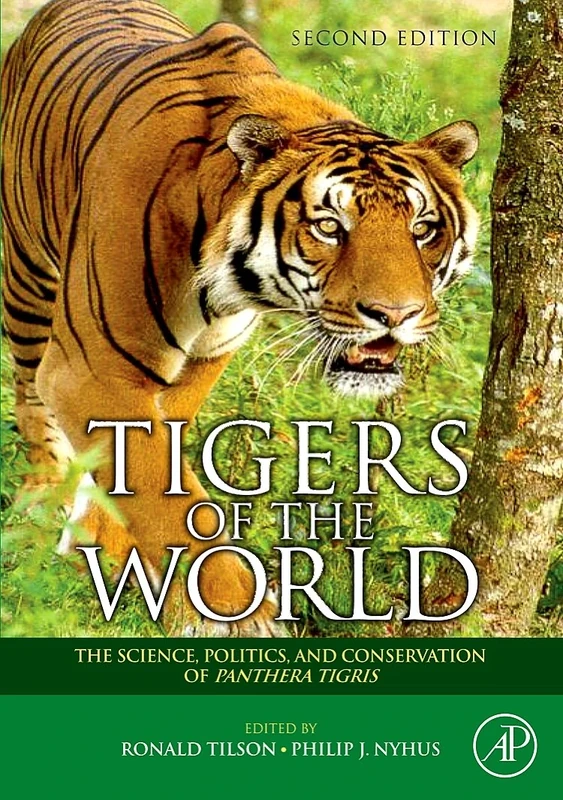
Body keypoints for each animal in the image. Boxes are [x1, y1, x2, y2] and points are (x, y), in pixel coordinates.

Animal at [1, 0, 478, 636]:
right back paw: (37, 527)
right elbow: (158, 484)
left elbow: (150, 462)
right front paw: (234, 615)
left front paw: (121, 560)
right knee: (33, 409)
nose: (395, 314)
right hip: (28, 281)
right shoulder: (93, 367)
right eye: (330, 226)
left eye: (422, 229)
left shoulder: (204, 355)